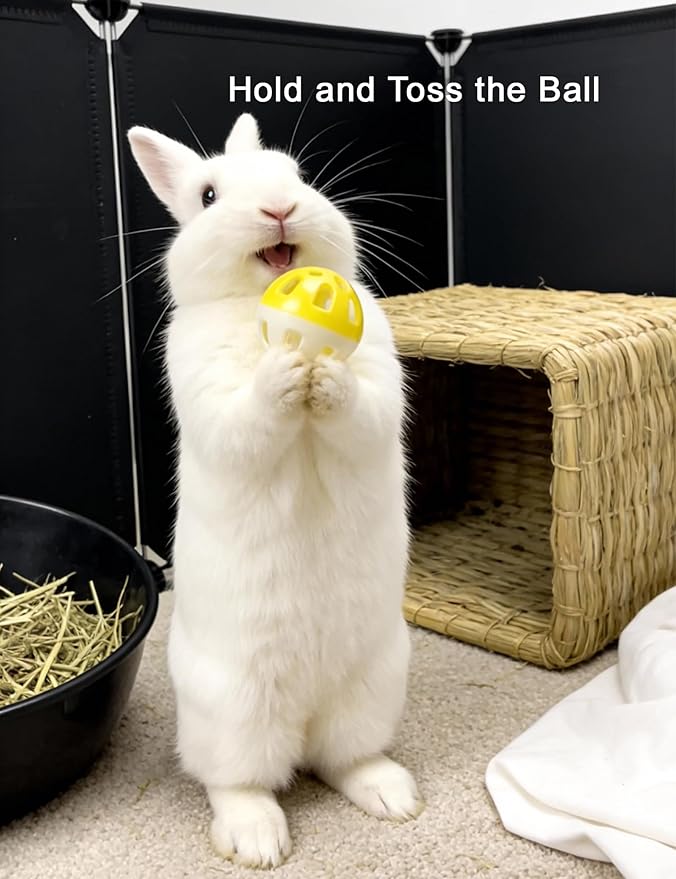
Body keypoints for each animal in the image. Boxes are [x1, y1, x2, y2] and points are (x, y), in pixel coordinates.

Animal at [128, 113, 422, 869]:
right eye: (207, 196)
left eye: (297, 175)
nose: (280, 208)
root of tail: (304, 714)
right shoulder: (208, 391)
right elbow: (247, 419)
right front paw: (286, 371)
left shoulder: (380, 378)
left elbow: (363, 407)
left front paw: (326, 378)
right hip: (234, 710)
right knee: (238, 780)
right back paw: (258, 841)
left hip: (376, 683)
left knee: (344, 757)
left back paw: (393, 797)